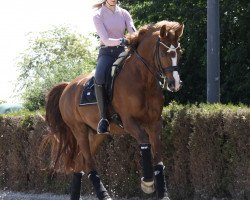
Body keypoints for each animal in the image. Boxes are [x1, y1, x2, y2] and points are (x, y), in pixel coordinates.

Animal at [42, 20, 184, 200]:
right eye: (165, 53)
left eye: (179, 52)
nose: (175, 84)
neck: (142, 80)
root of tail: (68, 87)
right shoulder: (129, 122)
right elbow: (144, 142)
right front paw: (147, 183)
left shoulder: (154, 123)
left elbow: (158, 156)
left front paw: (163, 193)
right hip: (79, 130)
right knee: (89, 163)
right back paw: (104, 195)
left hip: (96, 135)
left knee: (80, 164)